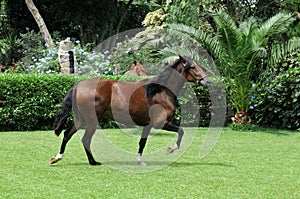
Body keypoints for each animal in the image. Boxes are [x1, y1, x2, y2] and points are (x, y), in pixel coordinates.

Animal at [48, 55, 209, 166]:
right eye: (193, 67)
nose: (206, 81)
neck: (160, 91)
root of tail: (77, 87)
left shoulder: (148, 125)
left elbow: (142, 142)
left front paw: (140, 161)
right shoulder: (160, 123)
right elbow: (181, 131)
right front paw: (171, 149)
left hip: (81, 119)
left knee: (67, 134)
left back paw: (57, 158)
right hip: (92, 121)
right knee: (85, 139)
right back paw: (93, 162)